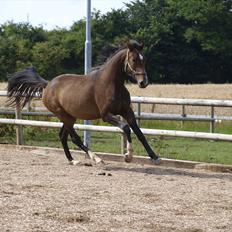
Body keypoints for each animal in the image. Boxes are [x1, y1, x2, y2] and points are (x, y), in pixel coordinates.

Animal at [6, 40, 160, 165]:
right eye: (133, 59)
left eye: (144, 59)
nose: (143, 82)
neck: (112, 83)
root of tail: (47, 84)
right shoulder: (106, 115)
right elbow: (126, 128)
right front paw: (128, 156)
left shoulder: (127, 111)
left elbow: (139, 133)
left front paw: (155, 157)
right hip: (64, 116)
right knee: (74, 138)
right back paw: (96, 158)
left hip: (70, 117)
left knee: (63, 136)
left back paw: (73, 160)